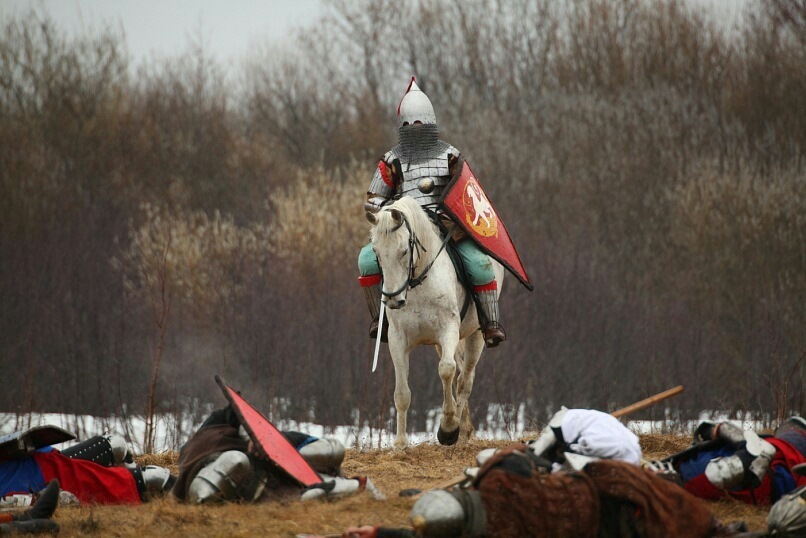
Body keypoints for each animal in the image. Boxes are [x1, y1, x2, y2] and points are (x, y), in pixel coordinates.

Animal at [368, 195, 504, 446]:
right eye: (376, 252)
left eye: (404, 251)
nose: (392, 299)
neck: (418, 283)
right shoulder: (397, 339)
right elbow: (402, 392)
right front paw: (400, 443)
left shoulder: (448, 330)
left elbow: (447, 370)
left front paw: (448, 428)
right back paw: (465, 429)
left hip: (475, 335)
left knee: (464, 380)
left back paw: (459, 429)